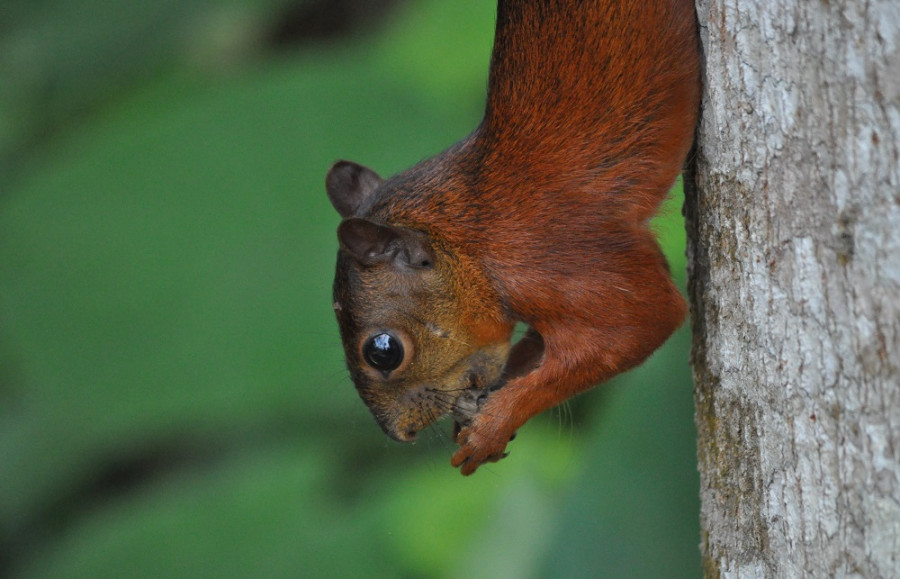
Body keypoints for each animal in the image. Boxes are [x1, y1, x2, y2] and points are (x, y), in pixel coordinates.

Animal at [326, 0, 700, 476]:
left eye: (382, 351)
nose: (401, 434)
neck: (470, 244)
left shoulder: (561, 260)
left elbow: (640, 323)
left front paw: (495, 424)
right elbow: (530, 350)